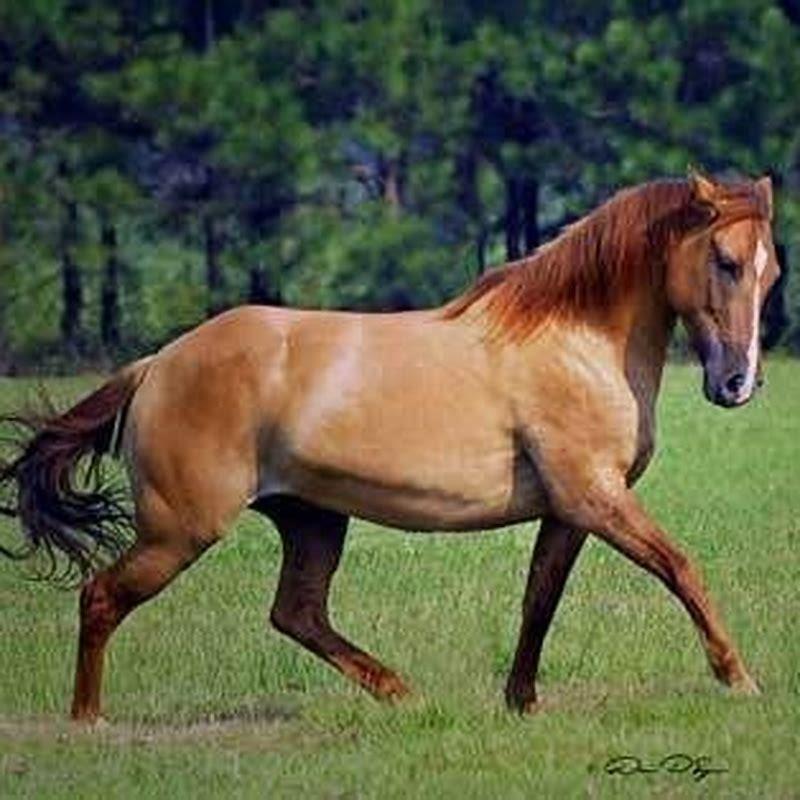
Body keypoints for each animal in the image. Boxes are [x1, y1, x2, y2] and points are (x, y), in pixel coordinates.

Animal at [0, 171, 779, 722]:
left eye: (770, 272)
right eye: (725, 260)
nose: (738, 383)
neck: (575, 339)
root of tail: (156, 365)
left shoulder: (571, 510)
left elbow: (540, 599)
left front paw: (520, 702)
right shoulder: (595, 497)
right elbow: (681, 569)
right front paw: (739, 678)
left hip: (312, 518)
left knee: (297, 614)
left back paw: (404, 694)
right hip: (180, 530)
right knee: (102, 597)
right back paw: (88, 722)